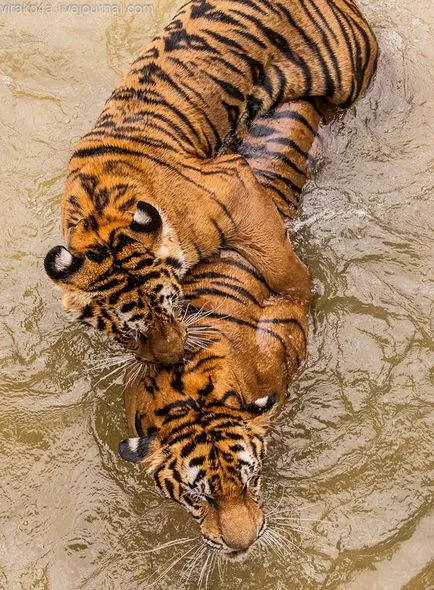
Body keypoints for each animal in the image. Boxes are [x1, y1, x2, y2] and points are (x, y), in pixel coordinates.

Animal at [42, 0, 378, 368]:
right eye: (129, 331)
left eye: (171, 304)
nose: (174, 359)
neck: (99, 210)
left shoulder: (235, 185)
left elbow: (283, 270)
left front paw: (305, 299)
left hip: (346, 80)